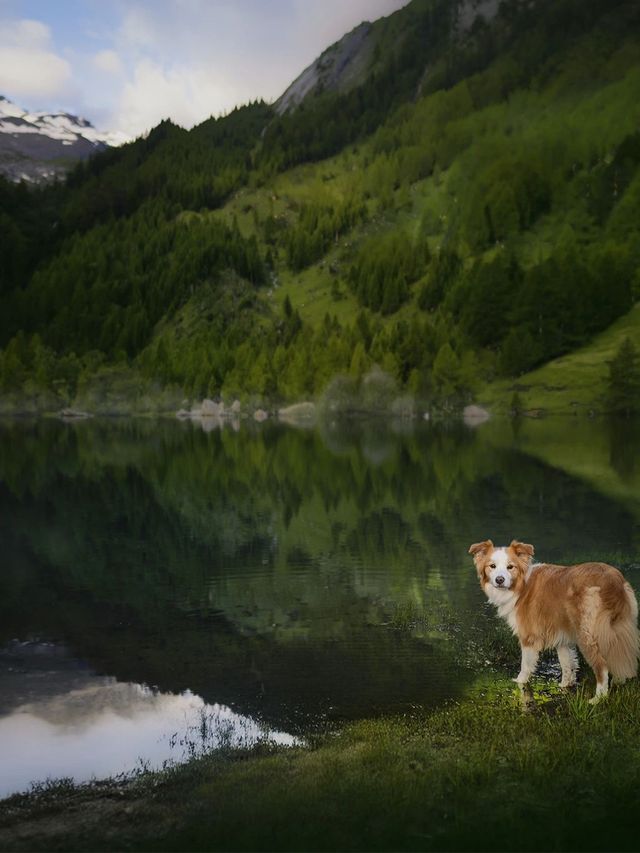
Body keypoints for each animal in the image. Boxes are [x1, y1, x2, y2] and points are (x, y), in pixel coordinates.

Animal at [468, 540, 636, 700]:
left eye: (510, 567)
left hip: (588, 635)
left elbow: (525, 666)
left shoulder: (529, 638)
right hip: (617, 628)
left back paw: (597, 699)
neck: (521, 586)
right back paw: (618, 682)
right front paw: (564, 687)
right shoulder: (562, 637)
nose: (500, 580)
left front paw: (519, 683)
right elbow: (567, 665)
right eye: (492, 566)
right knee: (619, 656)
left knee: (602, 667)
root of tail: (612, 582)